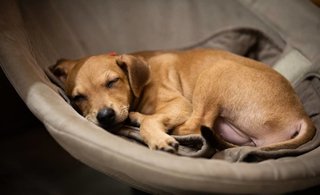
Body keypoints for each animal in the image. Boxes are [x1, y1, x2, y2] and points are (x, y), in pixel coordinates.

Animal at [52, 48, 316, 152]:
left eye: (112, 82)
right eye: (78, 97)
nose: (105, 117)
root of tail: (303, 115)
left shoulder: (180, 104)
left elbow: (155, 121)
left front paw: (157, 138)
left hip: (217, 72)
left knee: (196, 125)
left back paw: (141, 119)